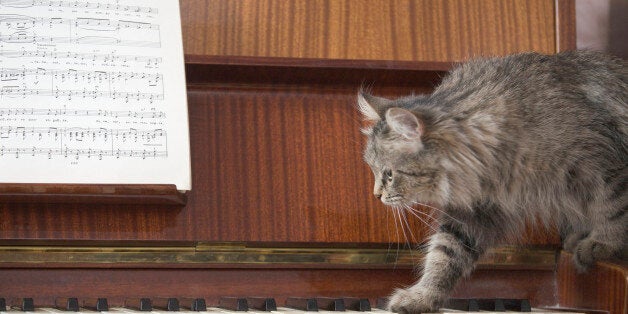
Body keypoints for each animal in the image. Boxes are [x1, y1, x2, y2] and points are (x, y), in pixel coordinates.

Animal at [360, 50, 624, 312]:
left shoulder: (606, 167)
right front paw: (422, 297)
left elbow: (614, 208)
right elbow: (445, 254)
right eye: (372, 170)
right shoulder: (475, 211)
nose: (376, 195)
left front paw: (605, 243)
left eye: (389, 174)